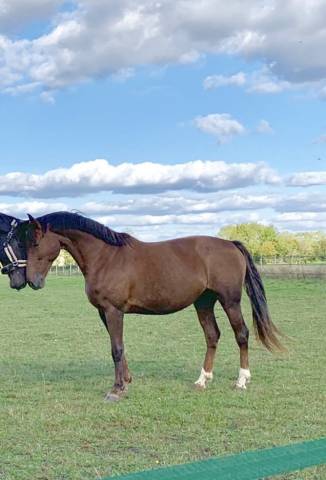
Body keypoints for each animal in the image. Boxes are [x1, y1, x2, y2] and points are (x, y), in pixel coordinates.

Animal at [19, 212, 282, 400]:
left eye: (35, 243)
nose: (31, 281)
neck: (105, 257)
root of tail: (230, 244)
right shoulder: (104, 313)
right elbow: (119, 347)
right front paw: (125, 382)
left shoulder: (113, 311)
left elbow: (116, 349)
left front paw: (116, 390)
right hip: (204, 302)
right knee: (212, 336)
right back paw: (202, 380)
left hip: (230, 301)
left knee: (242, 335)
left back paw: (241, 381)